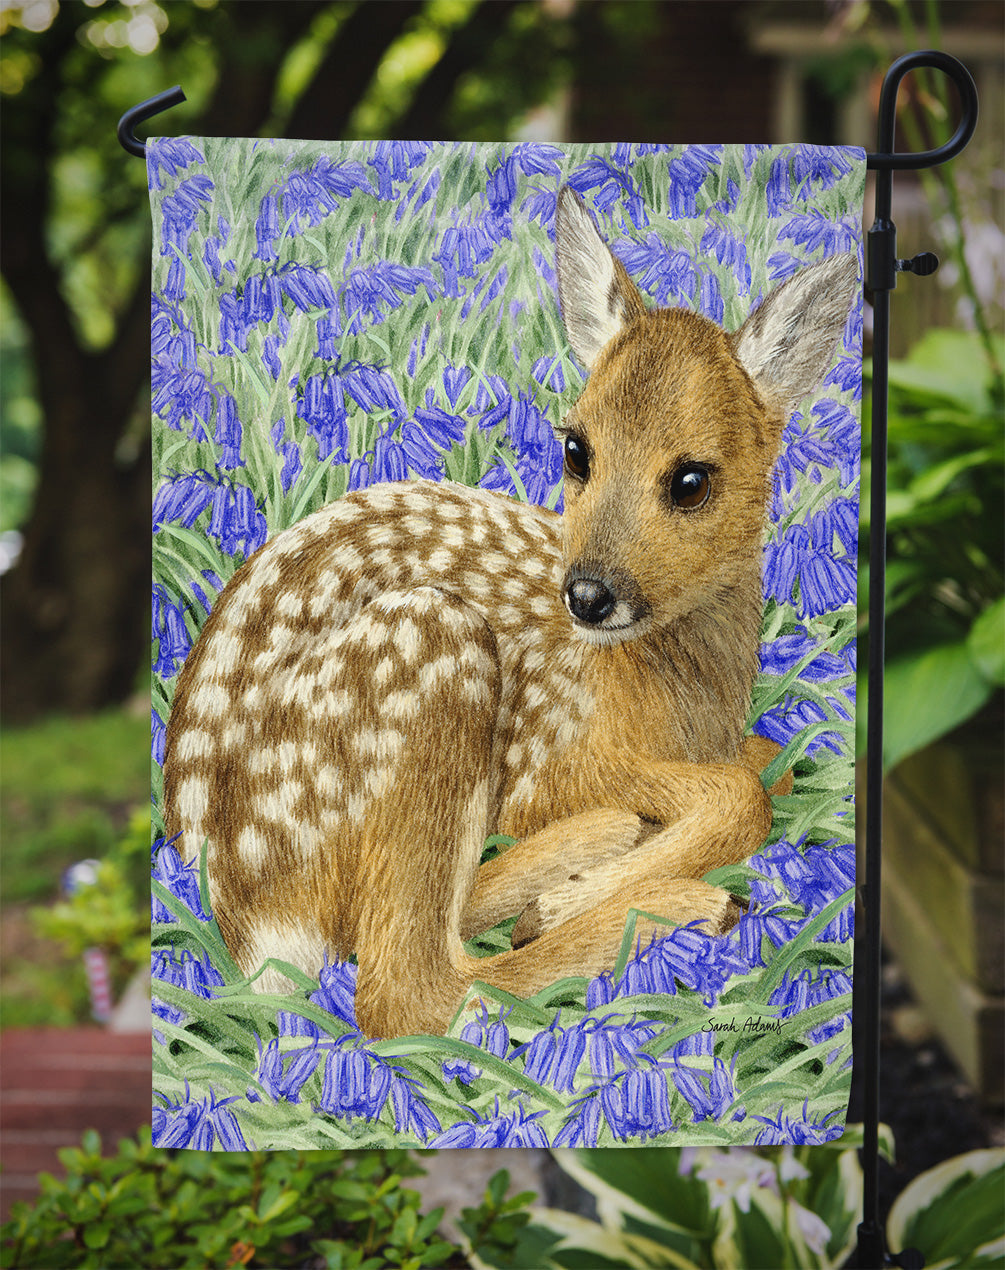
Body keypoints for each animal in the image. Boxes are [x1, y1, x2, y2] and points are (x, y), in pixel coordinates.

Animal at [163, 186, 858, 1040]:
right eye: (575, 450)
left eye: (691, 479)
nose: (586, 594)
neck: (687, 705)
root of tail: (248, 923)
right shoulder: (547, 761)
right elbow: (740, 793)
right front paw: (575, 897)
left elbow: (774, 764)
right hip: (429, 651)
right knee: (406, 990)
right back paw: (670, 900)